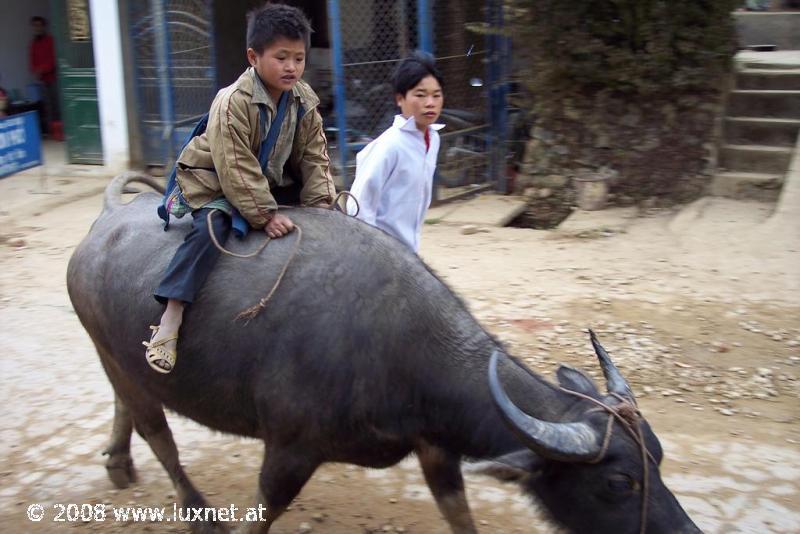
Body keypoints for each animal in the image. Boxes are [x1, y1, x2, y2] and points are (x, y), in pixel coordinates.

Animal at [65, 174, 696, 532]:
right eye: (618, 483)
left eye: (659, 457)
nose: (684, 533)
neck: (402, 349)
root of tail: (104, 221)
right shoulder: (289, 451)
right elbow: (263, 513)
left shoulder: (438, 450)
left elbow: (460, 516)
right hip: (113, 355)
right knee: (160, 434)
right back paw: (195, 510)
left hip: (117, 359)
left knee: (127, 406)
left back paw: (118, 464)